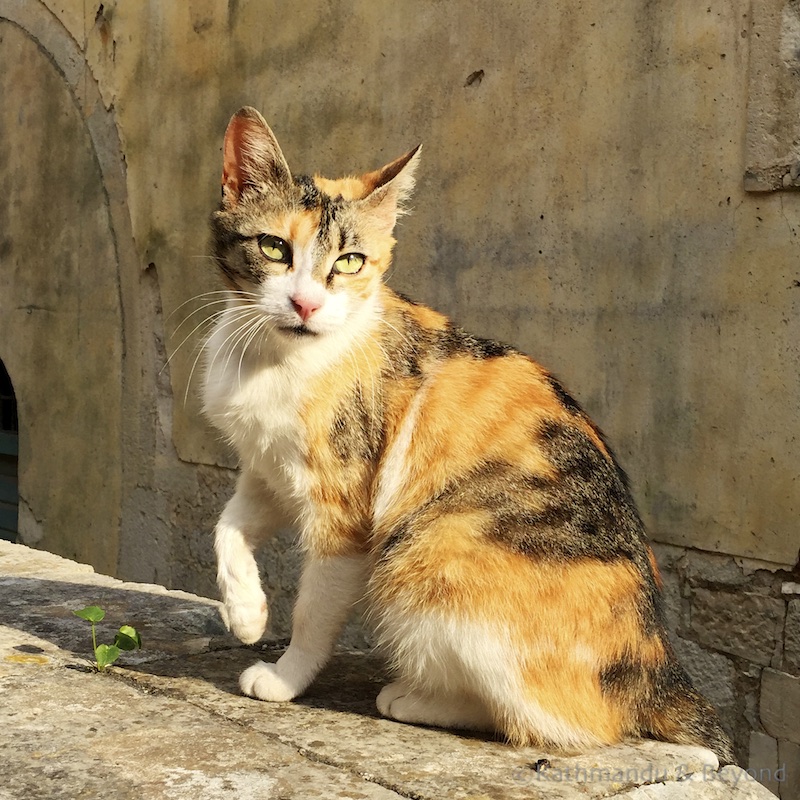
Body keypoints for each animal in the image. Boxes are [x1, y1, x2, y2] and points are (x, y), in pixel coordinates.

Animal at [203, 106, 736, 764]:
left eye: (350, 261)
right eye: (274, 247)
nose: (305, 304)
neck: (277, 359)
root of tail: (654, 666)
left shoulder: (344, 508)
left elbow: (314, 609)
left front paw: (283, 677)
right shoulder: (268, 468)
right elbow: (228, 526)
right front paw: (246, 612)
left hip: (427, 552)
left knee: (560, 723)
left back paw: (413, 699)